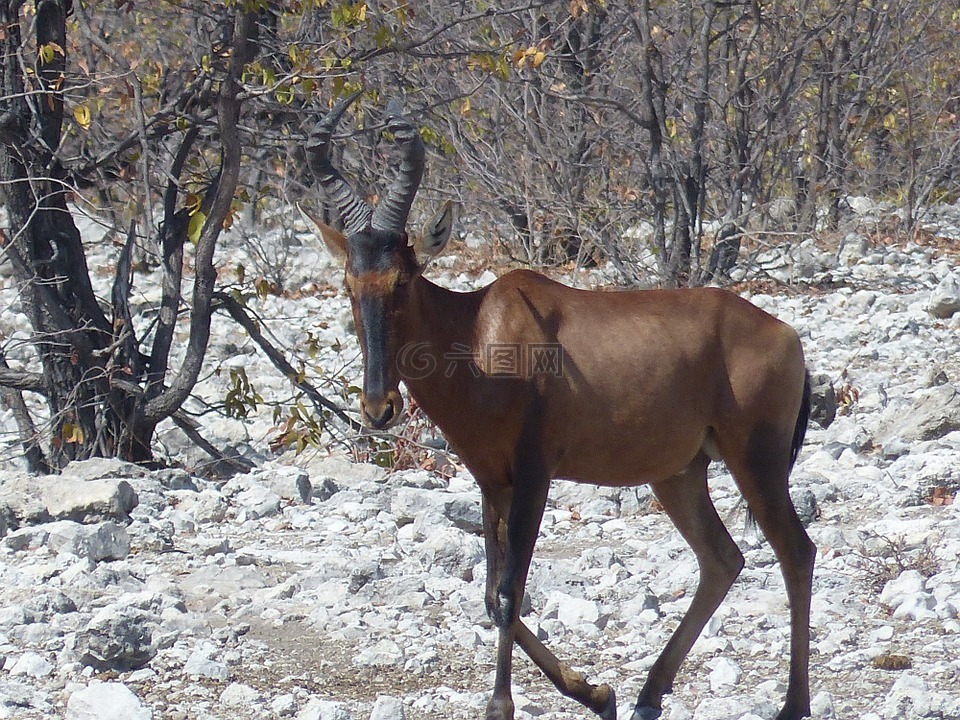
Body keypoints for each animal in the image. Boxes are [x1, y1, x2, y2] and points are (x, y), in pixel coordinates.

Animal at [304, 91, 812, 720]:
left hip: (755, 462)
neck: (480, 331)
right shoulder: (491, 482)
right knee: (723, 559)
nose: (379, 408)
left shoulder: (534, 474)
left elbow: (509, 590)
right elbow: (491, 593)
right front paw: (596, 693)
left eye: (403, 278)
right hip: (679, 474)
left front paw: (502, 705)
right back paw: (646, 695)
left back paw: (791, 705)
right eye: (349, 283)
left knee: (796, 552)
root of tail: (784, 333)